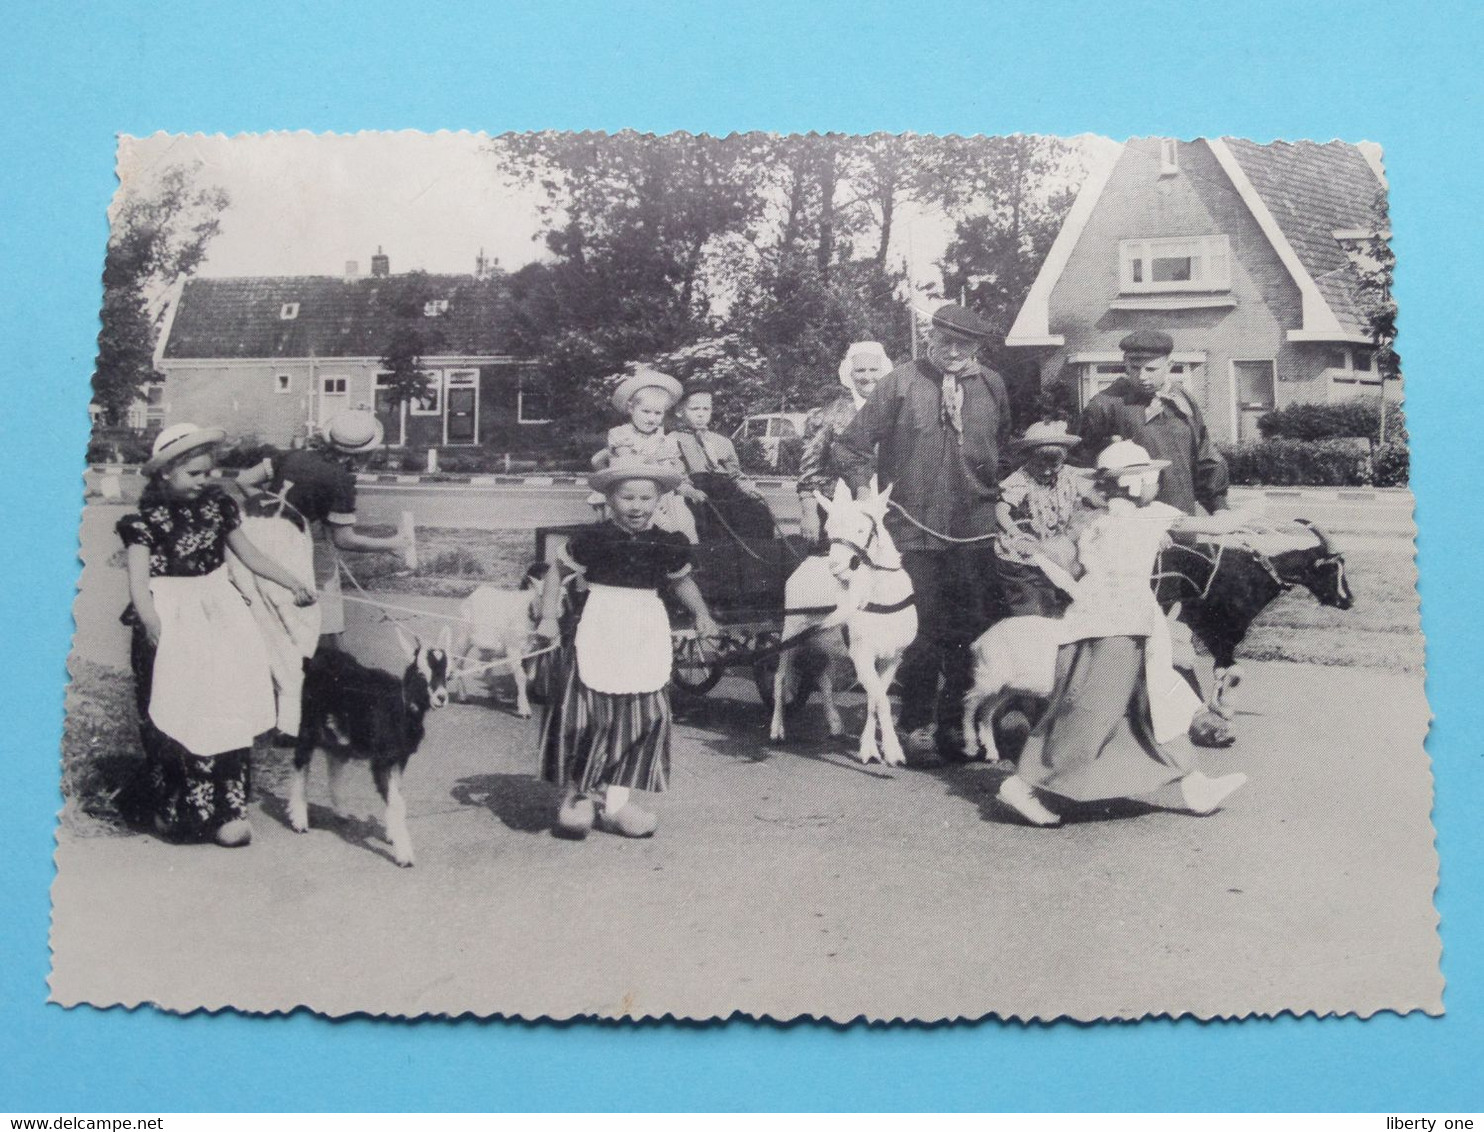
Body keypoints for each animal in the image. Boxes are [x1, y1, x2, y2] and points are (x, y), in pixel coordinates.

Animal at [289, 623, 448, 872]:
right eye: (421, 673)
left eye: (447, 672)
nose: (441, 697)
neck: (400, 706)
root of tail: (314, 656)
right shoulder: (382, 759)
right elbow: (397, 802)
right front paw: (404, 855)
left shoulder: (400, 758)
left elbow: (396, 793)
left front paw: (392, 834)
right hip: (308, 720)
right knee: (301, 759)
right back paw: (299, 820)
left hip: (338, 729)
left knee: (334, 759)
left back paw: (340, 812)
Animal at [451, 563, 552, 718]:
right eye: (541, 595)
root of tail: (473, 594)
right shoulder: (514, 649)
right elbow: (521, 677)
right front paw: (524, 710)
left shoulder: (534, 651)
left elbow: (530, 677)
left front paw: (520, 702)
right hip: (462, 637)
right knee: (459, 662)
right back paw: (463, 697)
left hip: (488, 646)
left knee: (486, 664)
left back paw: (493, 695)